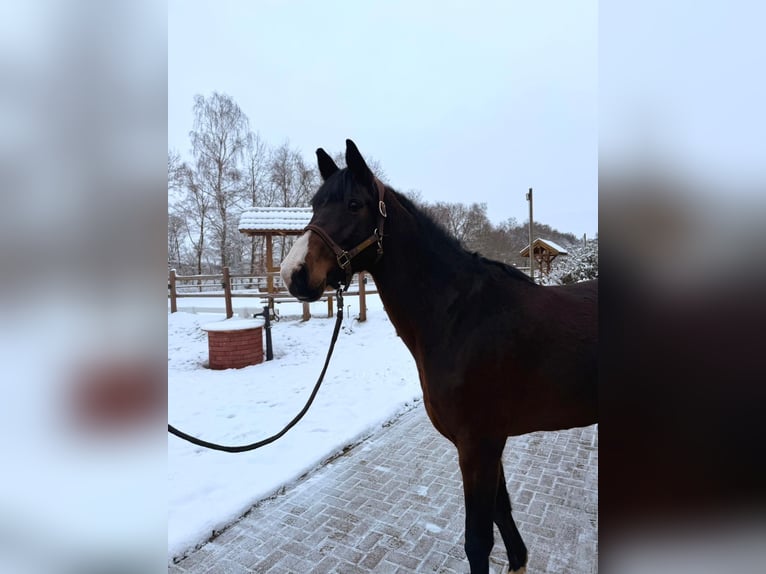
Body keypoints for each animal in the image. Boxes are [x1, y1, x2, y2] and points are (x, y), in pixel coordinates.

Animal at [280, 139, 597, 574]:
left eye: (353, 204)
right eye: (314, 204)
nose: (293, 273)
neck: (461, 316)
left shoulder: (478, 445)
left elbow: (478, 540)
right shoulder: (487, 445)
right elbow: (504, 516)